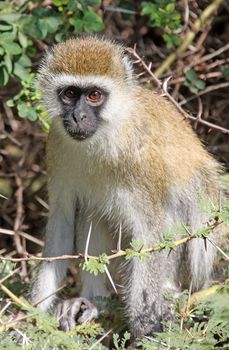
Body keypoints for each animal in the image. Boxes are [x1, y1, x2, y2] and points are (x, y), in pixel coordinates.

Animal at [29, 36, 219, 336]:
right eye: (69, 93)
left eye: (95, 95)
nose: (78, 116)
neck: (105, 135)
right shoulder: (56, 145)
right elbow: (62, 222)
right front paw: (31, 317)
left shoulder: (140, 159)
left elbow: (151, 234)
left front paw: (145, 325)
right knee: (92, 211)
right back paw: (93, 300)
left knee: (191, 200)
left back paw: (170, 292)